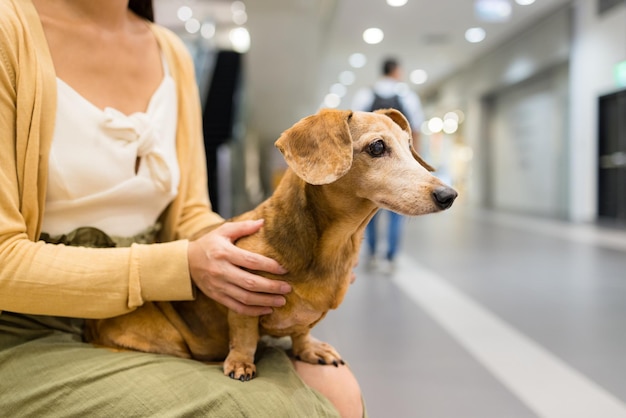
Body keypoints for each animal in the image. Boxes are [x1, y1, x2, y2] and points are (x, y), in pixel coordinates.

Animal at [84, 107, 454, 378]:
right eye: (377, 147)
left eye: (409, 145)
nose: (449, 195)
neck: (332, 247)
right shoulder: (241, 303)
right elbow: (245, 337)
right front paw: (241, 363)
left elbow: (302, 331)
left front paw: (308, 350)